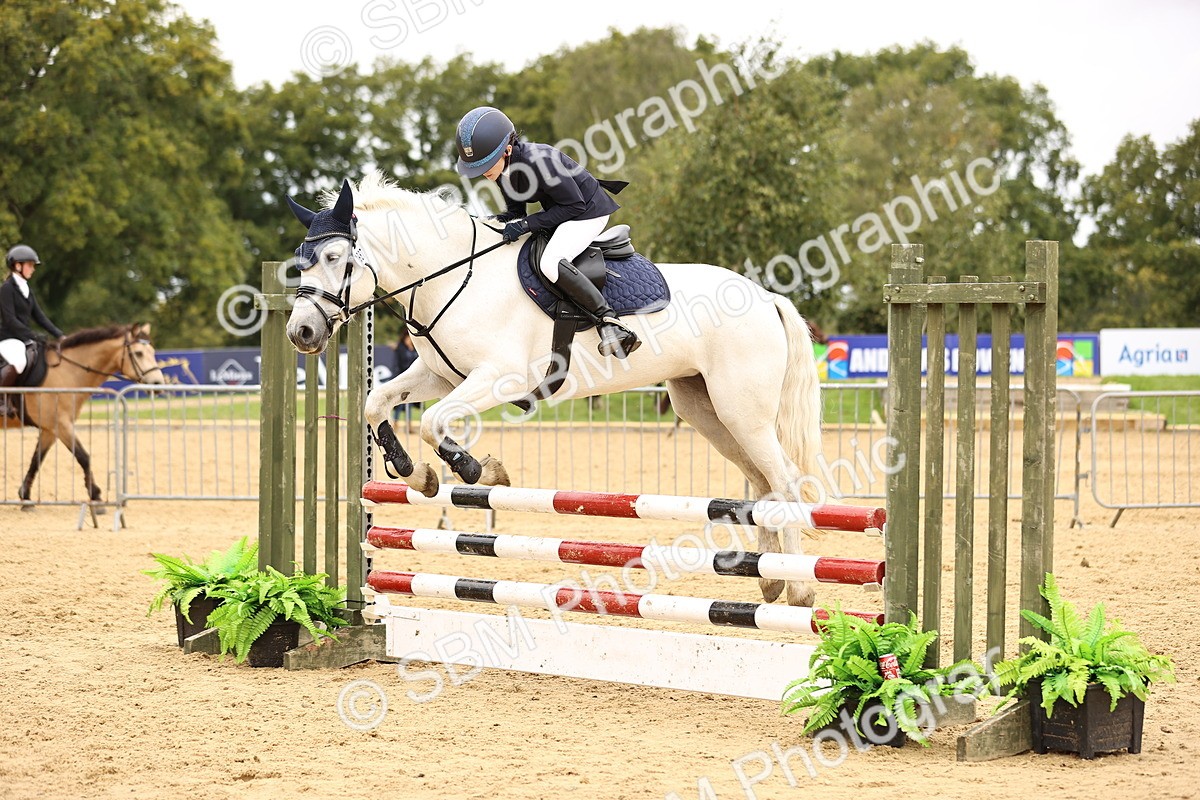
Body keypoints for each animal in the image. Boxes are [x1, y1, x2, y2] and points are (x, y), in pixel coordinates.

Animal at [1, 323, 164, 507]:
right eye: (138, 353)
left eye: (152, 351)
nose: (158, 384)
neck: (66, 371)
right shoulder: (62, 425)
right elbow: (84, 457)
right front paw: (96, 496)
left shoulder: (51, 429)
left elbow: (36, 460)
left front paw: (25, 497)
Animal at [283, 174, 825, 606]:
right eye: (300, 263)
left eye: (334, 257)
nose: (301, 333)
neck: (455, 277)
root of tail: (767, 297)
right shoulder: (442, 375)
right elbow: (378, 403)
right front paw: (417, 474)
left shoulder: (499, 378)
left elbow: (435, 423)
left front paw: (480, 471)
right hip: (706, 409)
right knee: (761, 482)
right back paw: (770, 580)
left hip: (742, 411)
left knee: (783, 481)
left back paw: (798, 588)